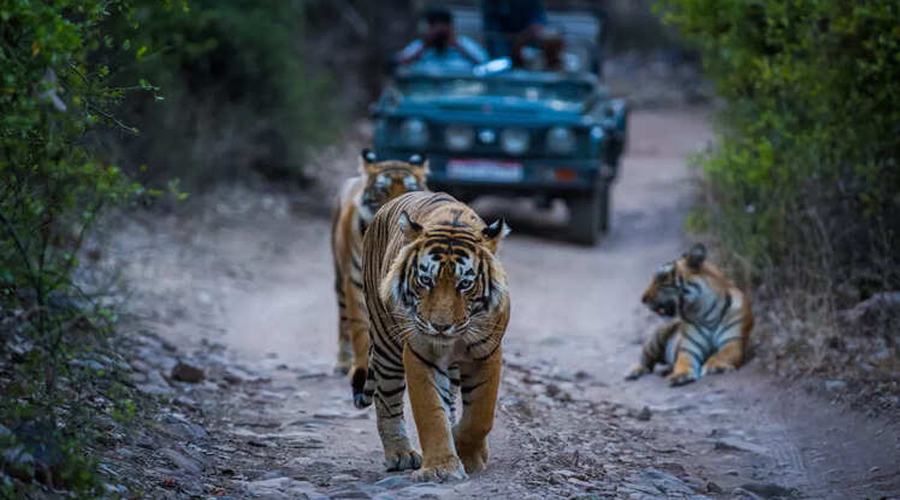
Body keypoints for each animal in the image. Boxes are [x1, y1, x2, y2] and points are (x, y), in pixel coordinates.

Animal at [331, 149, 428, 381]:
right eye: (383, 190)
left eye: (410, 189)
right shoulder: (355, 281)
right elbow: (359, 326)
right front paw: (360, 368)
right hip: (340, 277)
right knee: (343, 319)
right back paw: (342, 362)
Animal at [358, 191, 511, 482]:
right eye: (426, 280)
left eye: (465, 284)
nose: (440, 326)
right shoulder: (421, 352)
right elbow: (430, 412)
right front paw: (441, 467)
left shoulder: (488, 352)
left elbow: (481, 414)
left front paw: (468, 453)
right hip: (385, 343)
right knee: (387, 400)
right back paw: (401, 454)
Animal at [625, 243, 754, 386]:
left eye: (662, 279)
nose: (643, 299)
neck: (706, 313)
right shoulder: (689, 348)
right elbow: (683, 362)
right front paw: (680, 375)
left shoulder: (733, 342)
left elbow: (722, 354)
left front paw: (715, 366)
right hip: (656, 338)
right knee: (646, 360)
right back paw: (633, 372)